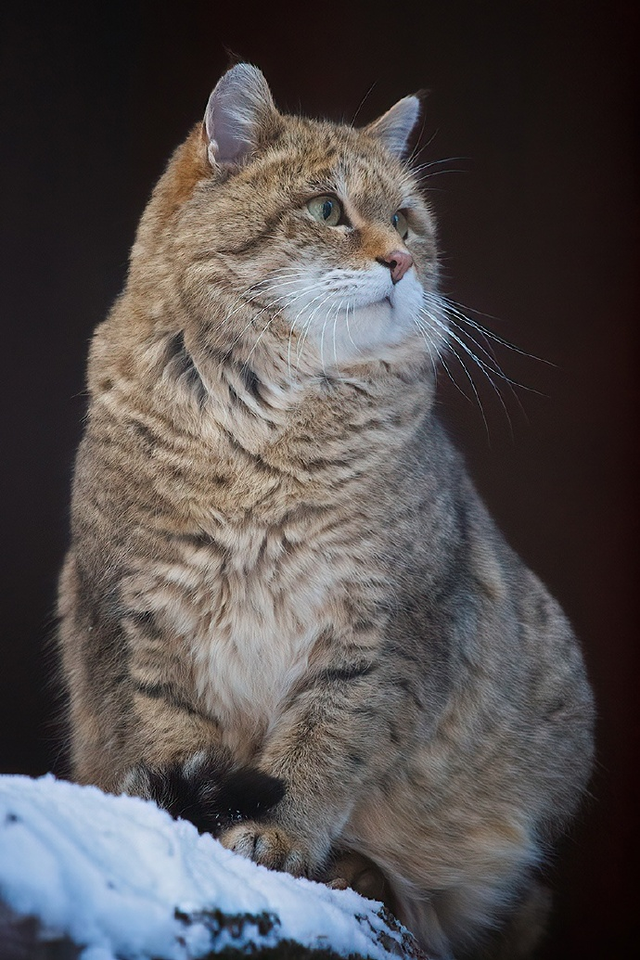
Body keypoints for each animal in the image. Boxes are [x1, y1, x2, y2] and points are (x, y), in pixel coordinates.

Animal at [57, 63, 596, 956]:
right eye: (326, 210)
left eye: (404, 218)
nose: (402, 260)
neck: (263, 440)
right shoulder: (136, 620)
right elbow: (170, 739)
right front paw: (194, 829)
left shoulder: (388, 630)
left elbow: (324, 744)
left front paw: (280, 836)